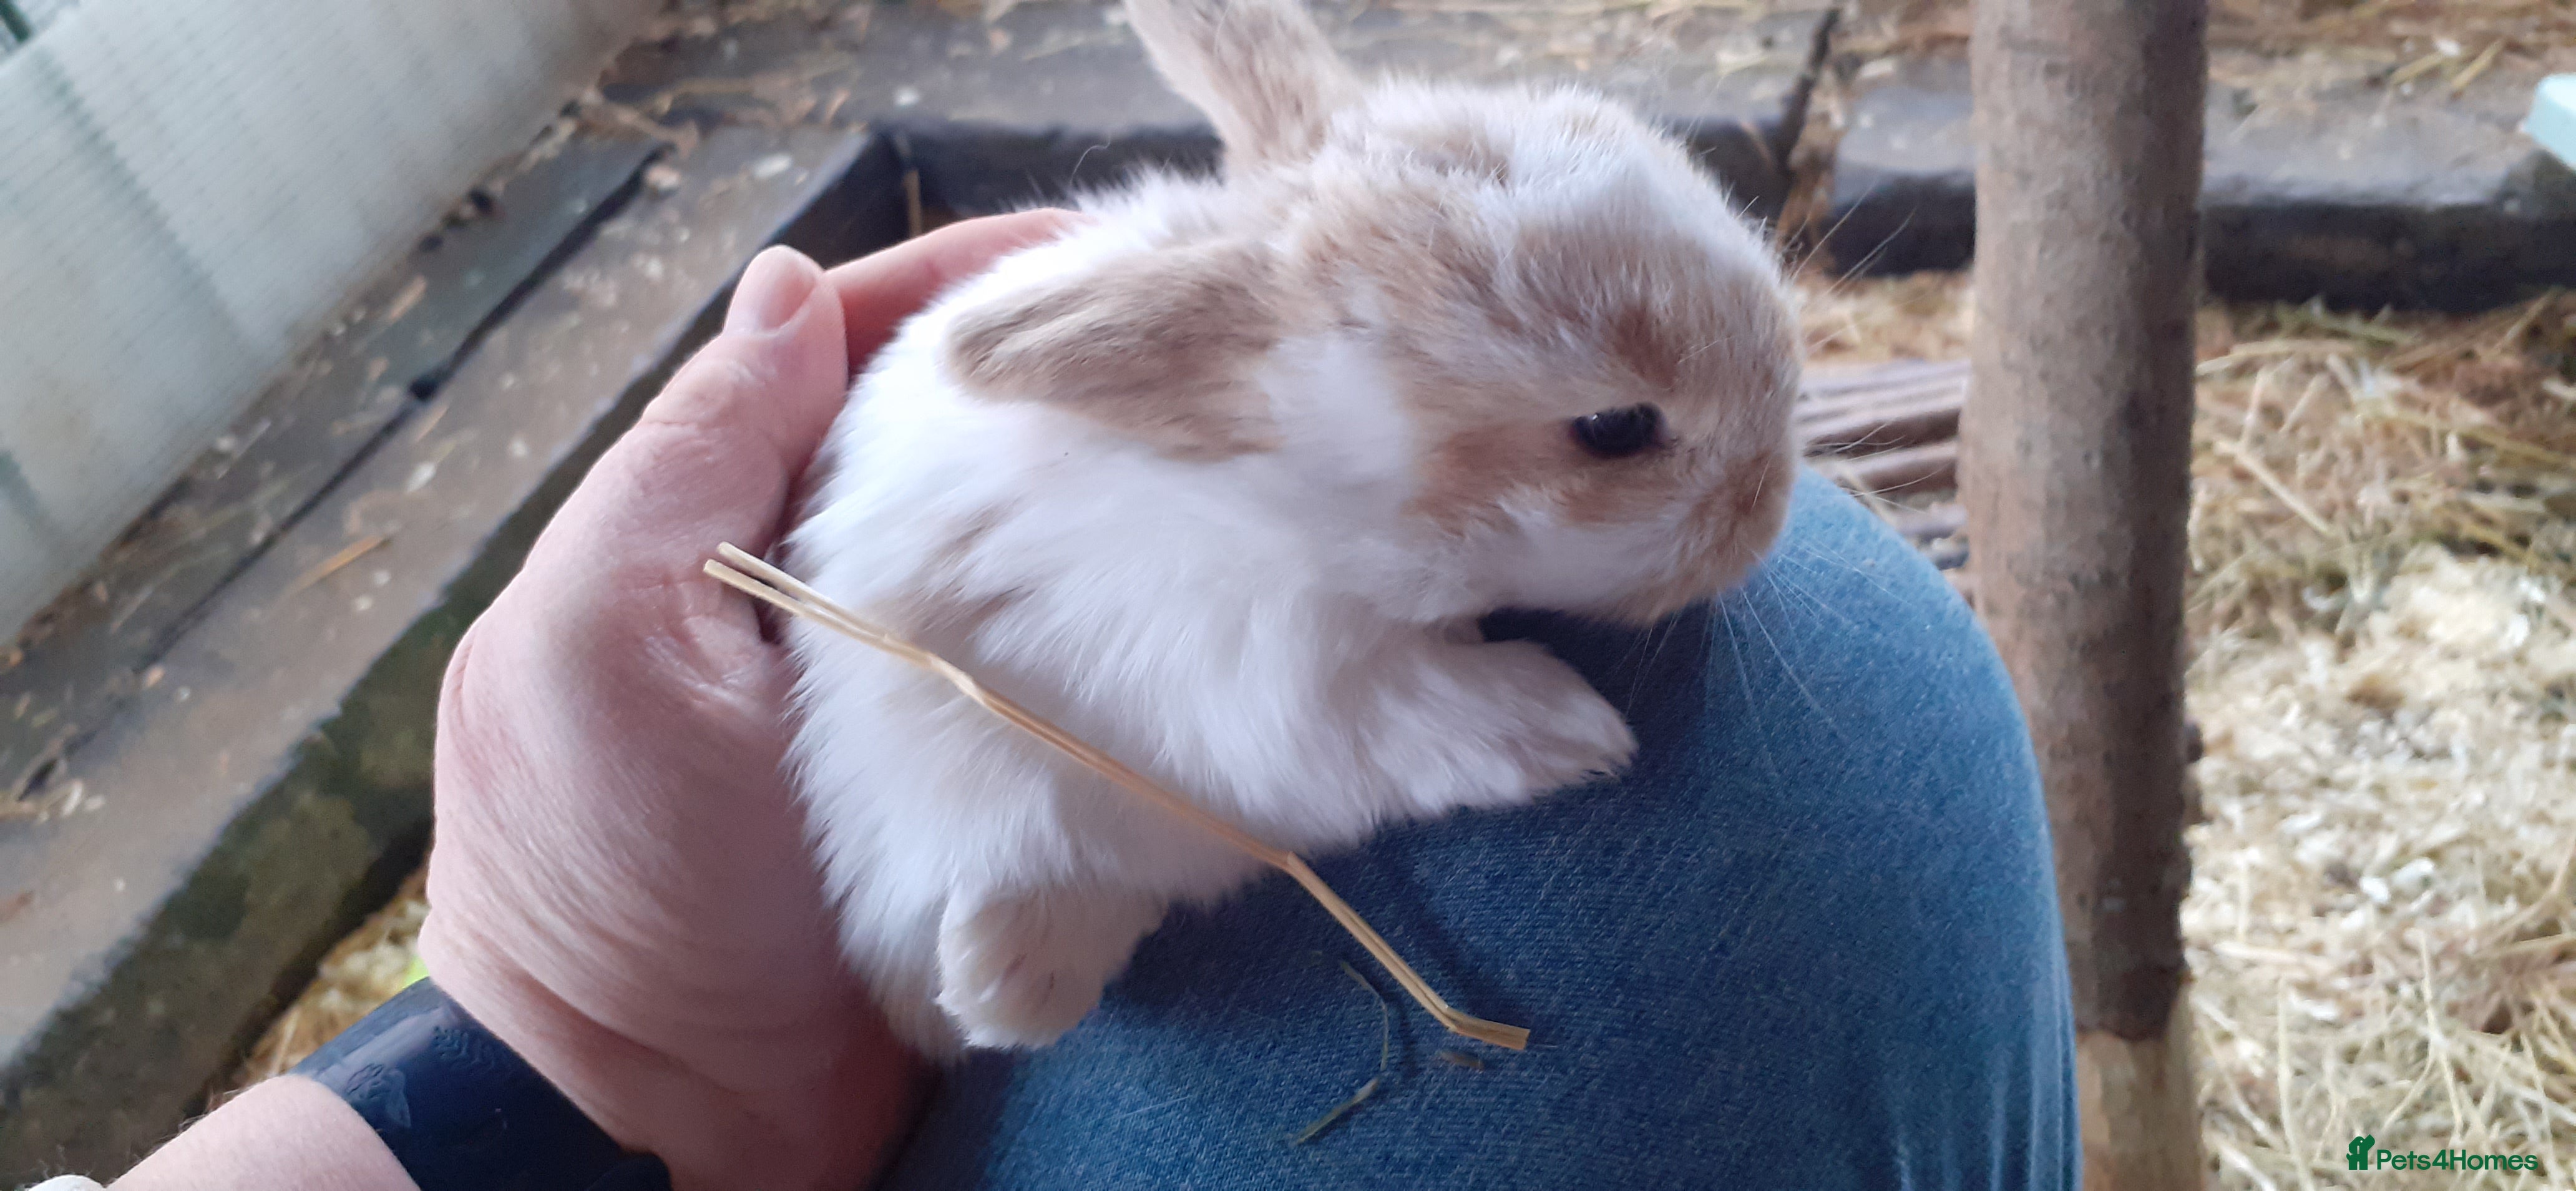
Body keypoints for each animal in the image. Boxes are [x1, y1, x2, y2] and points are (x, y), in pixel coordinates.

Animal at [779, 0, 1803, 1057]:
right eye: (1615, 428)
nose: (1767, 512)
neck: (1308, 508)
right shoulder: (1286, 687)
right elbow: (1430, 717)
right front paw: (1580, 735)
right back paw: (1005, 982)